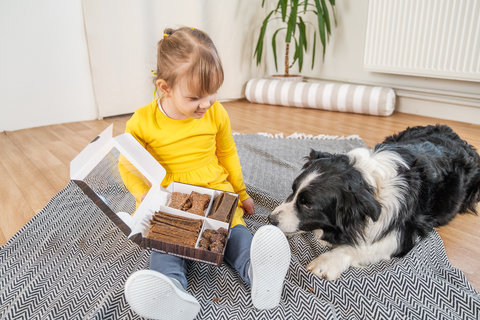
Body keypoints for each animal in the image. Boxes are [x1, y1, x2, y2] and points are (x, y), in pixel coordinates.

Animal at [268, 125, 478, 280]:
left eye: (308, 205)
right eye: (293, 190)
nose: (271, 219)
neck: (367, 182)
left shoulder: (405, 232)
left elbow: (362, 246)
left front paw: (325, 263)